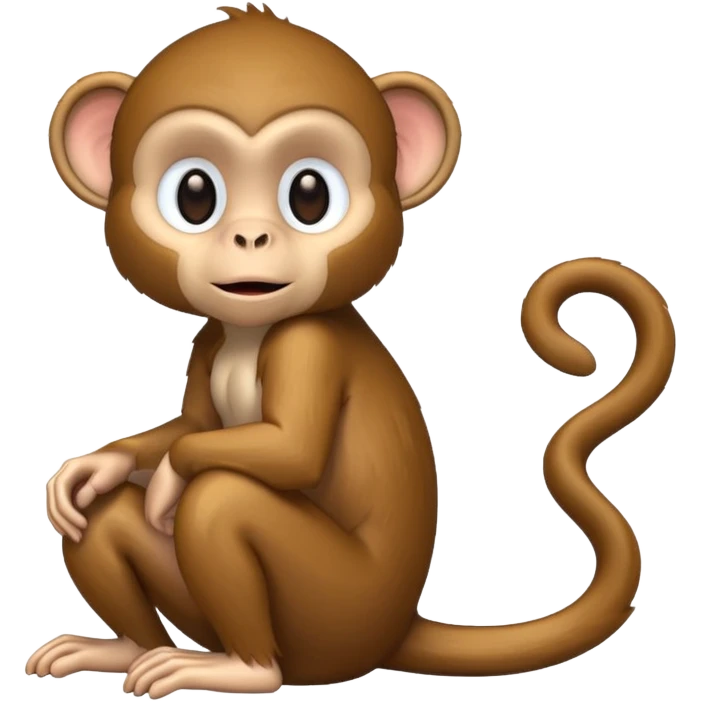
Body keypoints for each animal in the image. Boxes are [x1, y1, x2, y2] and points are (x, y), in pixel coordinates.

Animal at [26, 3, 675, 697]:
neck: (253, 331)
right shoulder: (208, 340)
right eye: (194, 195)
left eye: (310, 195)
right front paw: (99, 465)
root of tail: (395, 629)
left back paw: (242, 669)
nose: (250, 237)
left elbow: (285, 451)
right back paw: (125, 645)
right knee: (99, 514)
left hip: (333, 613)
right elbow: (192, 425)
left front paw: (170, 475)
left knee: (223, 500)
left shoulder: (307, 347)